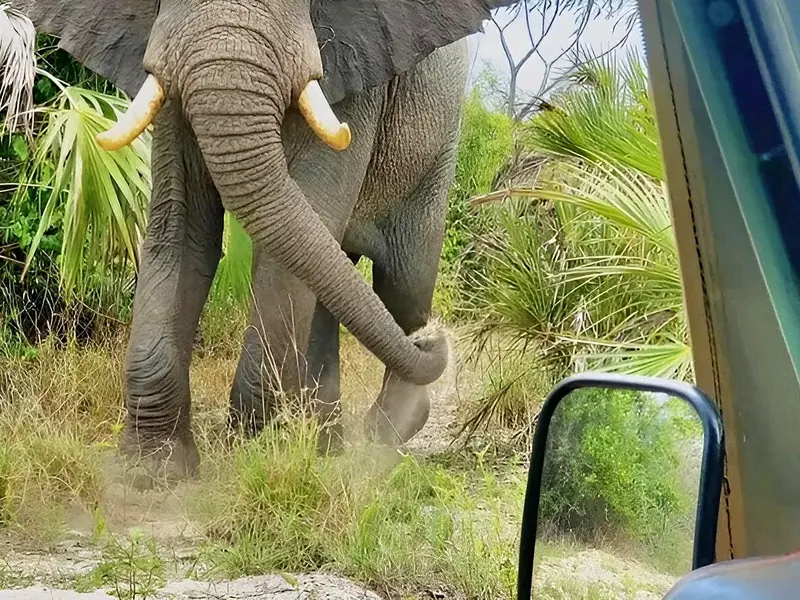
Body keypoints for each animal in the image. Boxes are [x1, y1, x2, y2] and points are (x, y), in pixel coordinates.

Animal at [6, 0, 517, 480]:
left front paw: (249, 455)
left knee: (402, 286)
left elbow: (288, 243)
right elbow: (180, 233)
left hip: (434, 152)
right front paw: (152, 470)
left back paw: (382, 436)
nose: (435, 339)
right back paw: (327, 444)